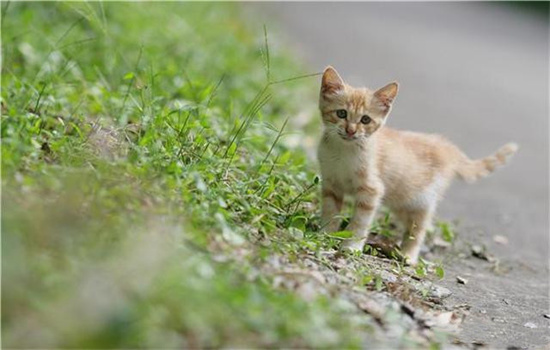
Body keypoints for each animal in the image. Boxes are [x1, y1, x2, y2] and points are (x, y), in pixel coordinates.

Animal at [316, 65, 520, 264]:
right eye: (341, 113)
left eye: (365, 119)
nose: (350, 131)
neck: (343, 151)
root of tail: (445, 145)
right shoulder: (331, 184)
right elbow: (330, 212)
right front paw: (325, 234)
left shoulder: (371, 191)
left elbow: (360, 222)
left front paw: (351, 247)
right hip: (402, 201)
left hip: (422, 201)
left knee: (418, 230)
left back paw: (408, 255)